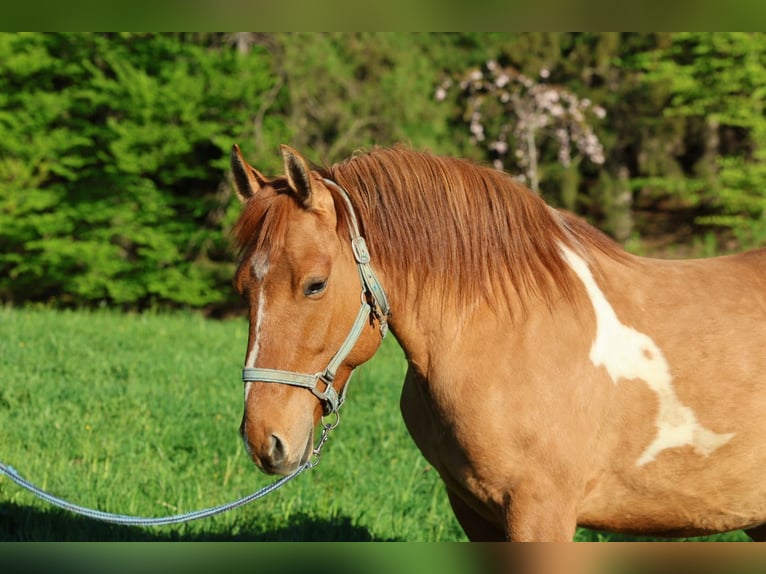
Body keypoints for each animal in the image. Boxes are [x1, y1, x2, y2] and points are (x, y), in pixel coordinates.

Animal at [229, 143, 766, 541]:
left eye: (315, 284)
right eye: (243, 287)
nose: (264, 441)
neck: (507, 336)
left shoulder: (541, 511)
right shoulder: (473, 510)